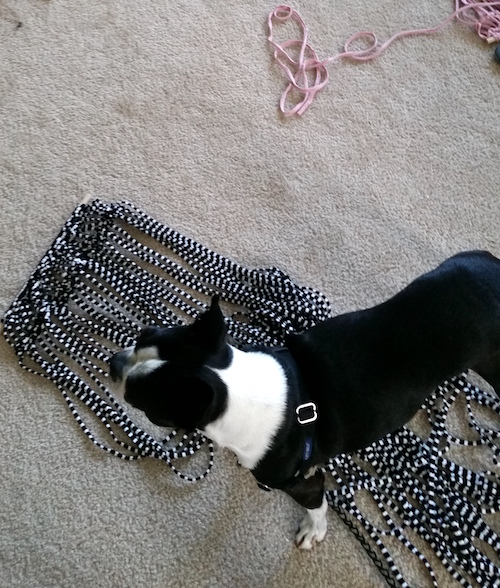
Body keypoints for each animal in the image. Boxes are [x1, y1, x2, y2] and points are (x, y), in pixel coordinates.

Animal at [109, 250, 500, 548]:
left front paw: (314, 530)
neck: (244, 389)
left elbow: (316, 505)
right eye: (142, 334)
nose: (113, 363)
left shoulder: (300, 482)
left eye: (141, 397)